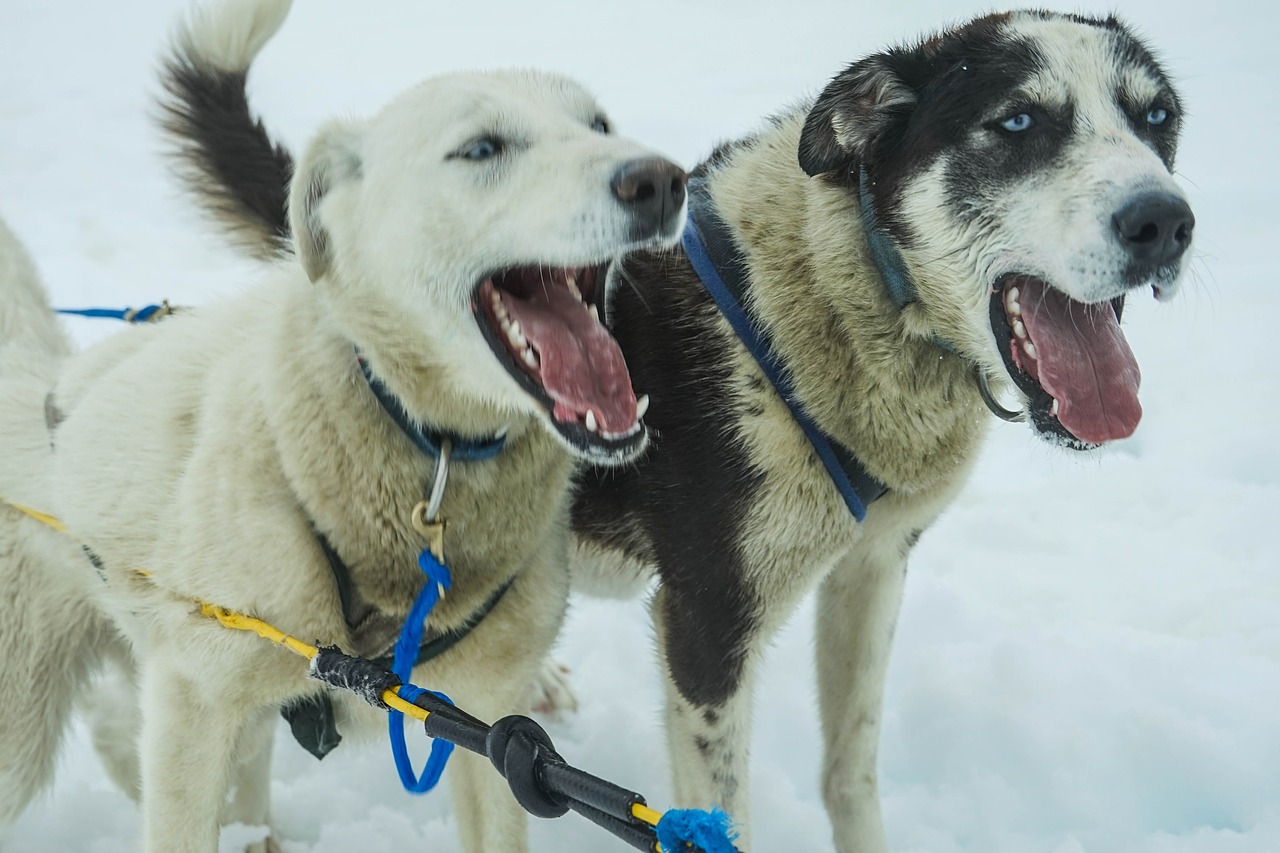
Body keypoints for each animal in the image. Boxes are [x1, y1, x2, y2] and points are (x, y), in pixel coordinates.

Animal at [0, 0, 691, 845]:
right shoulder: (195, 702)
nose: (660, 179)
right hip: (28, 730)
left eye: (599, 123)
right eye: (482, 147)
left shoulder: (492, 726)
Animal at [137, 8, 1187, 850]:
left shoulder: (871, 568)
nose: (1165, 222)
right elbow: (719, 815)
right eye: (1016, 124)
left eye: (1159, 117)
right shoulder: (709, 628)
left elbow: (850, 769)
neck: (845, 296)